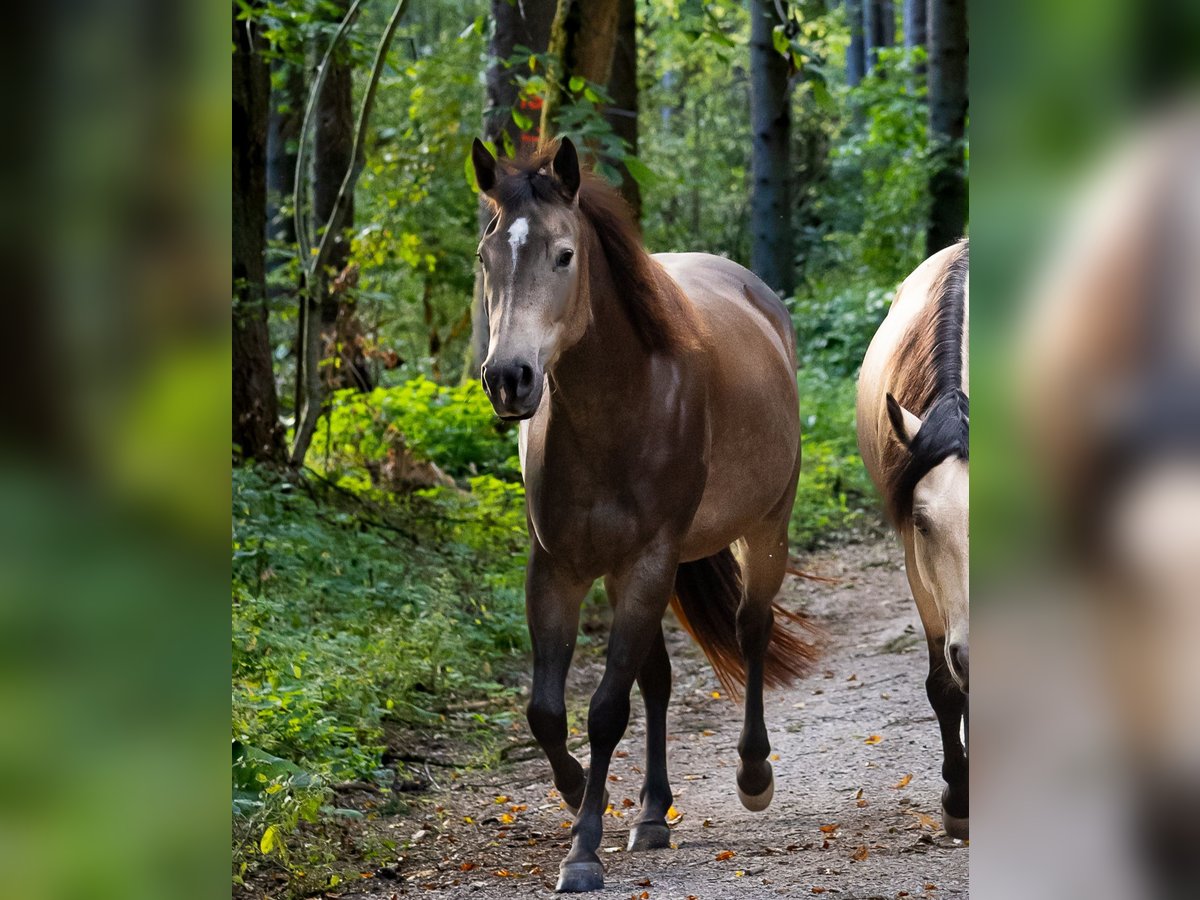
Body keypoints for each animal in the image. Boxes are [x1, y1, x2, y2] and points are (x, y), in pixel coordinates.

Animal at [469, 136, 818, 892]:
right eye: (486, 257)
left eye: (564, 254)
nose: (509, 379)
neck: (621, 409)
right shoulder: (560, 568)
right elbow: (547, 711)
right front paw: (580, 794)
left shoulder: (649, 561)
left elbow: (605, 710)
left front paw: (582, 849)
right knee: (657, 679)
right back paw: (654, 813)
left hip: (763, 530)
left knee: (751, 630)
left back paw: (753, 773)